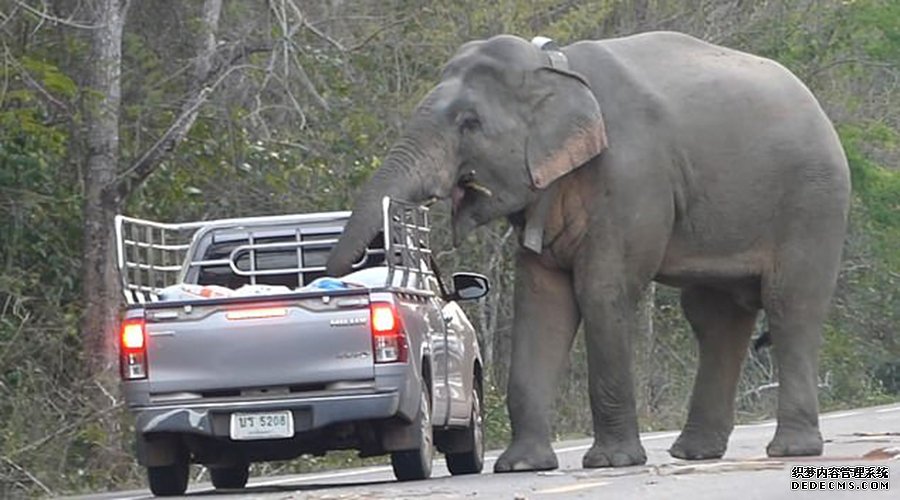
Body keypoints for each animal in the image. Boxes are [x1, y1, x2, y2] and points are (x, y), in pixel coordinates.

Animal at [326, 32, 852, 472]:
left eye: (469, 123)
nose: (327, 284)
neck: (553, 65)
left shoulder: (632, 175)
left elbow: (601, 291)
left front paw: (611, 463)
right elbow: (542, 304)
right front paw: (521, 467)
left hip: (813, 202)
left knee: (789, 306)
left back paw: (790, 450)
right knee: (714, 319)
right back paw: (694, 453)